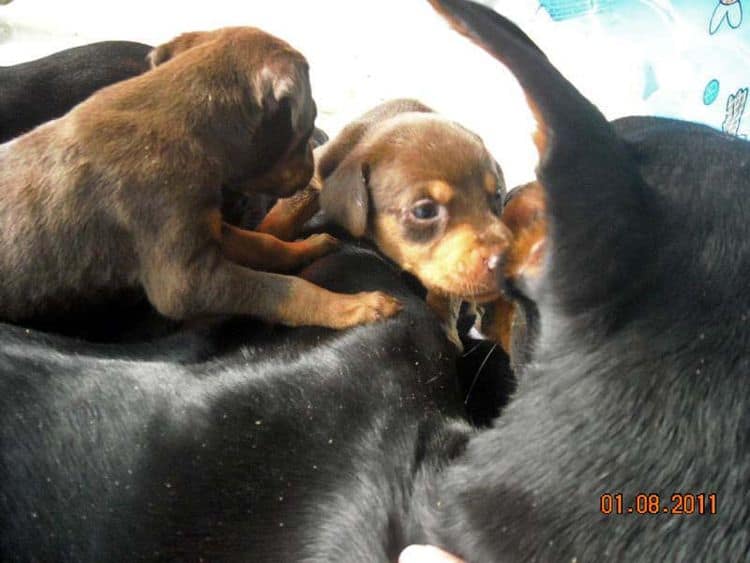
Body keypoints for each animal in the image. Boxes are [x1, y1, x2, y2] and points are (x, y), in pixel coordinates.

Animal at [0, 27, 402, 330]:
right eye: (308, 125)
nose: (312, 174)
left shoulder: (207, 227)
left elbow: (262, 244)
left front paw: (306, 248)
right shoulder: (186, 282)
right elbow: (284, 289)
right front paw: (355, 307)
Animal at [258, 99, 512, 346]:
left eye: (498, 196)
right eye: (424, 211)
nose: (506, 263)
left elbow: (446, 289)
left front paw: (446, 328)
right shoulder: (314, 178)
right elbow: (281, 220)